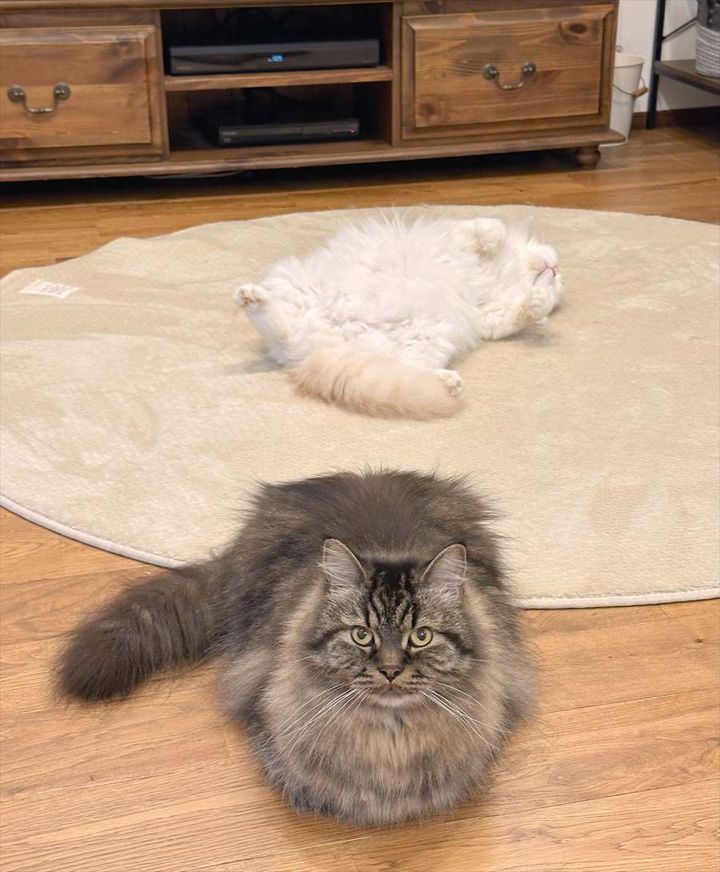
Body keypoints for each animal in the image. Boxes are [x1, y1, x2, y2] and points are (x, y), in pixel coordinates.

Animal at [235, 215, 563, 419]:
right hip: (289, 280)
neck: (501, 274)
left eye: (558, 283)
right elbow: (484, 230)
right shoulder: (458, 237)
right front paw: (494, 236)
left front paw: (539, 304)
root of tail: (316, 353)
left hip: (427, 338)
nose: (556, 272)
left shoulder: (488, 317)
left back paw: (448, 384)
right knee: (280, 325)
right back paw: (250, 298)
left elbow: (520, 312)